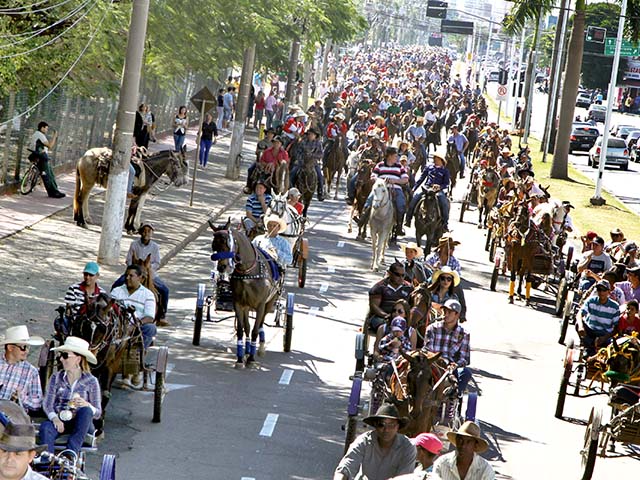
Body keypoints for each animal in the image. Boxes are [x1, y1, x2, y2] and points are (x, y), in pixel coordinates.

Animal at [210, 219, 280, 370]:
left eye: (227, 243)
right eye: (214, 246)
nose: (221, 267)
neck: (248, 272)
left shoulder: (260, 305)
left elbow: (255, 330)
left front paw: (252, 359)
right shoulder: (239, 304)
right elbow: (242, 330)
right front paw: (240, 359)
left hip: (270, 302)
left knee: (260, 325)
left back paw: (259, 349)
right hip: (247, 306)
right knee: (248, 327)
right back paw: (247, 351)